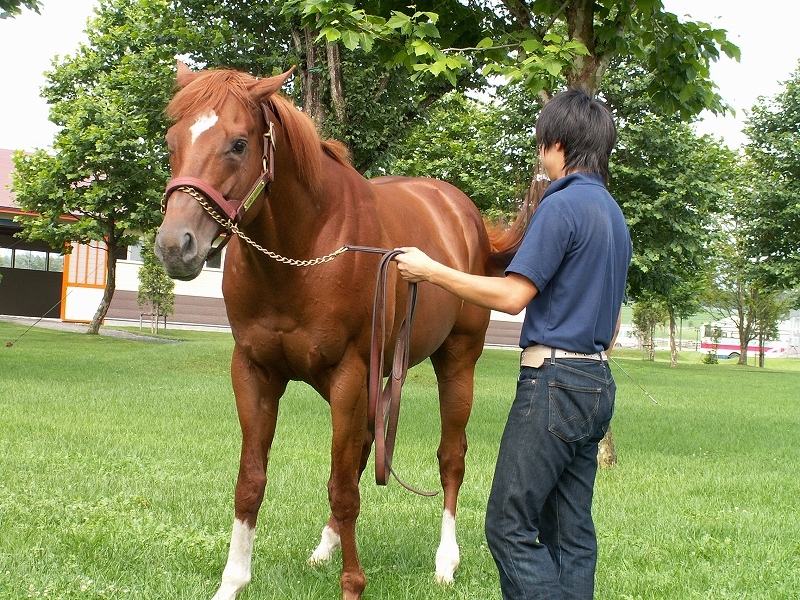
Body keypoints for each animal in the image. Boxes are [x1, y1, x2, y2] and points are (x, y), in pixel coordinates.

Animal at [154, 63, 520, 596]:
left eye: (239, 144)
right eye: (172, 140)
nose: (173, 246)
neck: (305, 250)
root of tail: (461, 212)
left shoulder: (349, 375)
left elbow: (343, 487)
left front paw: (353, 584)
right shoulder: (254, 372)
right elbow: (251, 482)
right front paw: (233, 582)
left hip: (457, 361)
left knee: (450, 457)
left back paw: (445, 561)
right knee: (367, 449)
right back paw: (325, 548)